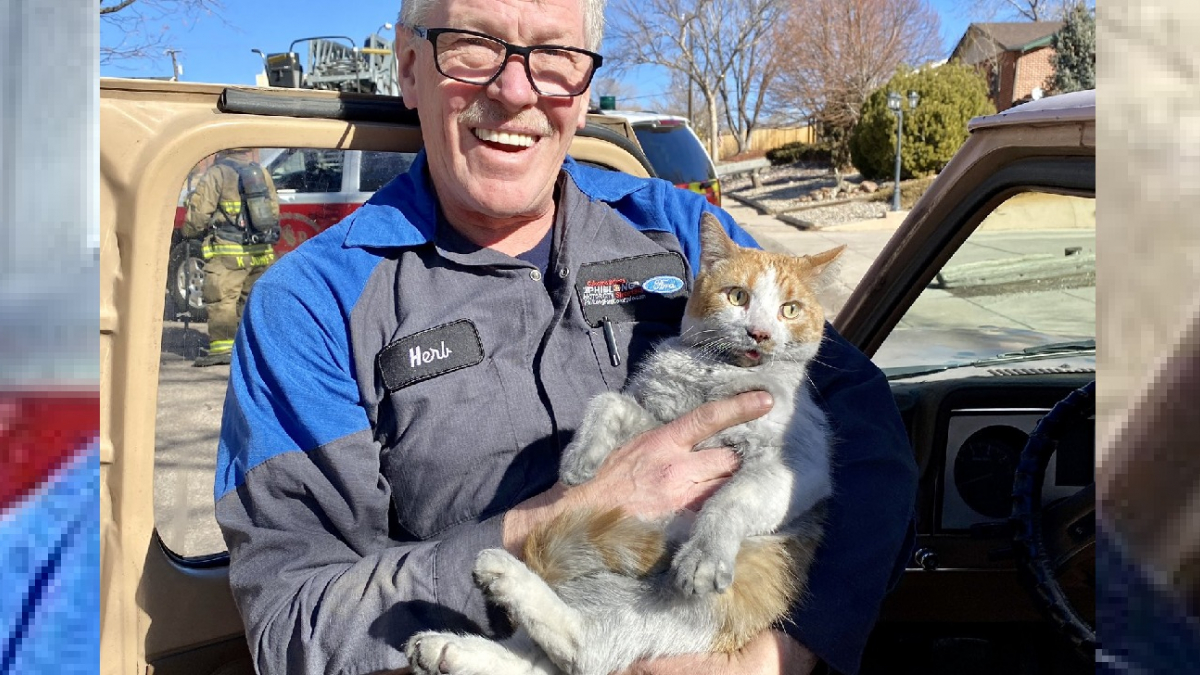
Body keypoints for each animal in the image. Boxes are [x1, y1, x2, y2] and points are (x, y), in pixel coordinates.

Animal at [408, 213, 849, 672]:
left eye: (790, 309)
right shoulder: (657, 421)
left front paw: (703, 553)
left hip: (688, 605)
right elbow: (608, 402)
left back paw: (495, 579)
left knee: (583, 649)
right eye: (737, 295)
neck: (715, 376)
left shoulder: (798, 464)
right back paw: (447, 644)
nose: (760, 333)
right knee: (548, 659)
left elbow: (732, 499)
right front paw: (580, 458)